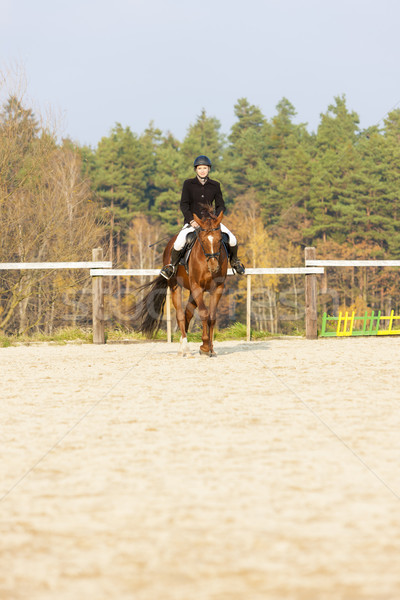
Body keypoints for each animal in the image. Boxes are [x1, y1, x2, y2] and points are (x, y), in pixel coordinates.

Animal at [133, 210, 228, 356]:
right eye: (203, 241)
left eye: (219, 240)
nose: (214, 267)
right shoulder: (197, 287)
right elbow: (204, 313)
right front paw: (205, 346)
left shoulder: (217, 288)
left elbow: (212, 316)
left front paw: (211, 348)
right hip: (176, 286)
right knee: (180, 315)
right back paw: (185, 348)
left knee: (187, 313)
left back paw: (183, 345)